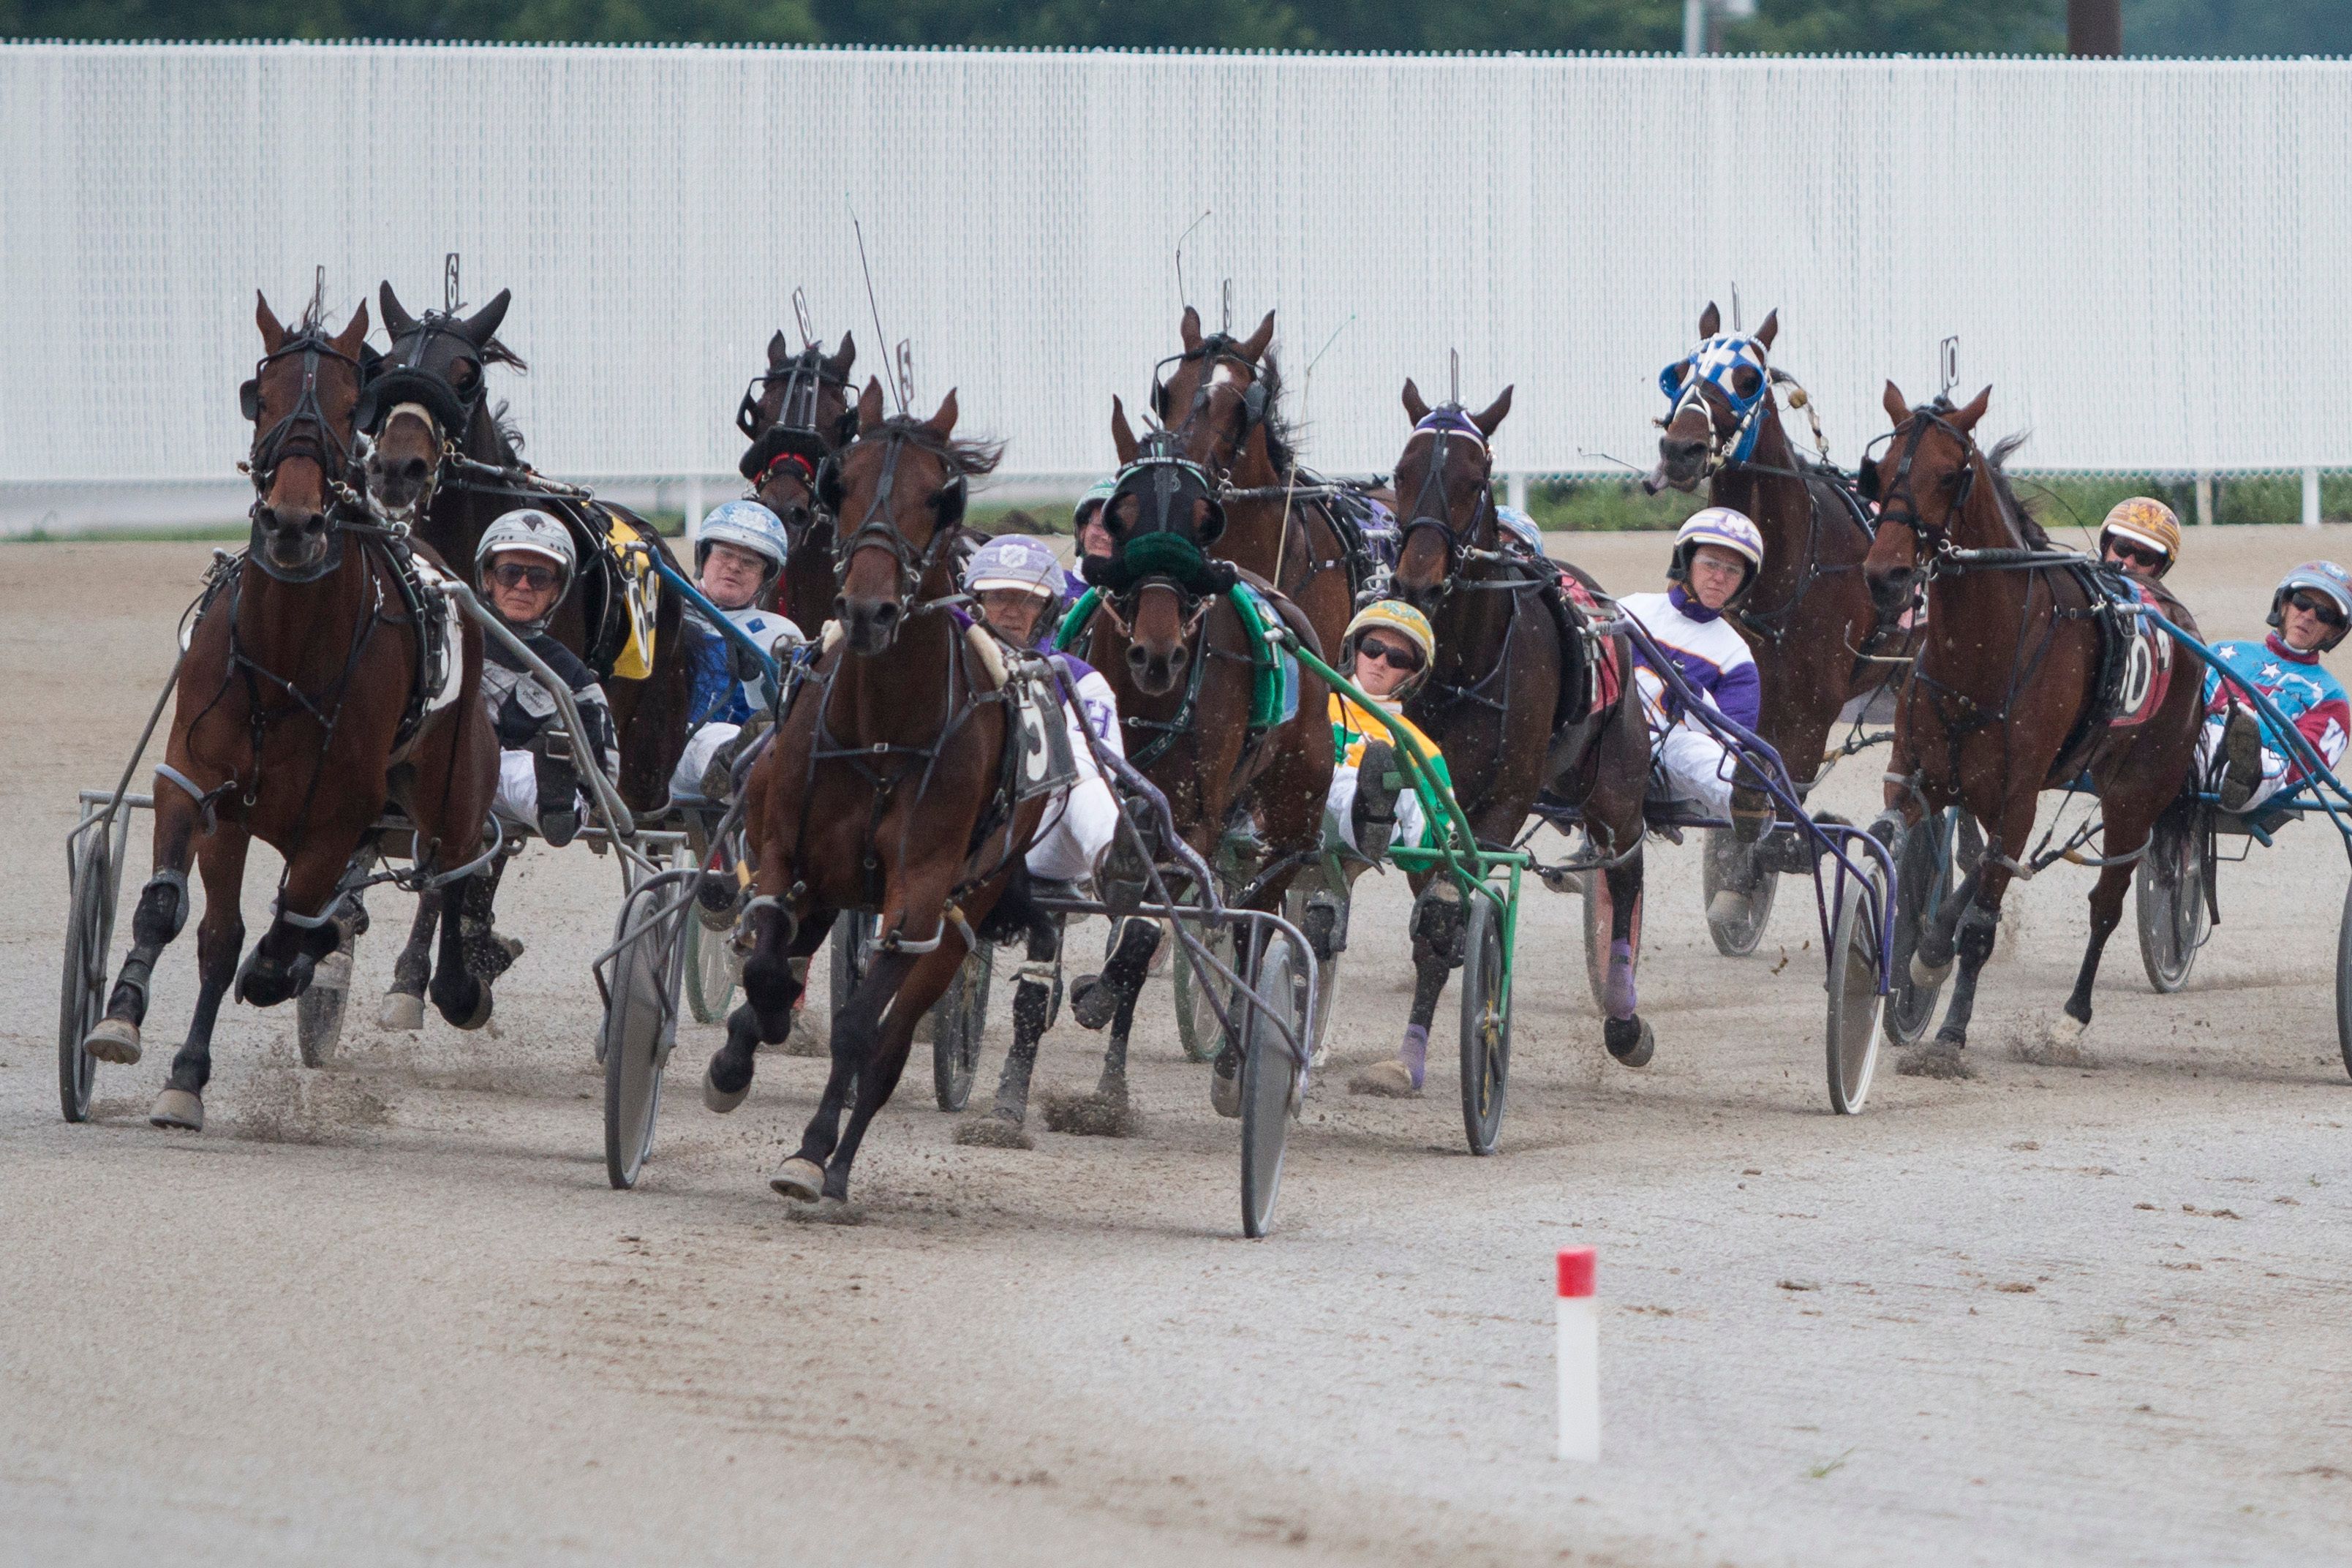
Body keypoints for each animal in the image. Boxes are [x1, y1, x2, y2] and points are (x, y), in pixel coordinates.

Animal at [80, 292, 500, 1133]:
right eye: (262, 397)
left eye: (347, 406)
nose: (294, 523)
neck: (282, 660)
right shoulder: (203, 782)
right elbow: (190, 920)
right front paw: (142, 1036)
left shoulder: (338, 815)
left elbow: (280, 934)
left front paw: (282, 969)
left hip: (456, 781)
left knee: (457, 866)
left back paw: (449, 980)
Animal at [359, 280, 696, 1030]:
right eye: (385, 367)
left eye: (465, 375)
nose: (398, 468)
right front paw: (415, 970)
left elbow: (475, 854)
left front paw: (461, 974)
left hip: (650, 765)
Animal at [700, 382, 1047, 1217]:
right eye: (843, 482)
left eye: (939, 494)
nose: (866, 611)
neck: (885, 731)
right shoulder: (784, 851)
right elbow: (768, 970)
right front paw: (738, 1054)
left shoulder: (918, 894)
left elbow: (862, 1028)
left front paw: (810, 1151)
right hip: (830, 885)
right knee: (791, 953)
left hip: (964, 912)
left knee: (889, 1048)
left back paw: (836, 1165)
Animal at [1388, 381, 1656, 1066]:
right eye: (1401, 471)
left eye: (1474, 477)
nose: (1417, 581)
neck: (1471, 664)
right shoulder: (1431, 798)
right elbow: (1433, 910)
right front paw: (1407, 1058)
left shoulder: (1507, 797)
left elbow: (1451, 908)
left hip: (1616, 781)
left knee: (1625, 870)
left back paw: (1624, 1019)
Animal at [1861, 384, 2207, 1066]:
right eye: (1881, 472)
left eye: (1950, 474)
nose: (1886, 574)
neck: (1980, 654)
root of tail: (2178, 619)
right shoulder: (1914, 778)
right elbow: (1920, 868)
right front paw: (1920, 960)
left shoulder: (2017, 795)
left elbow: (1981, 928)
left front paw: (1949, 1036)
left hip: (2137, 793)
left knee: (2106, 904)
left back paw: (2072, 1018)